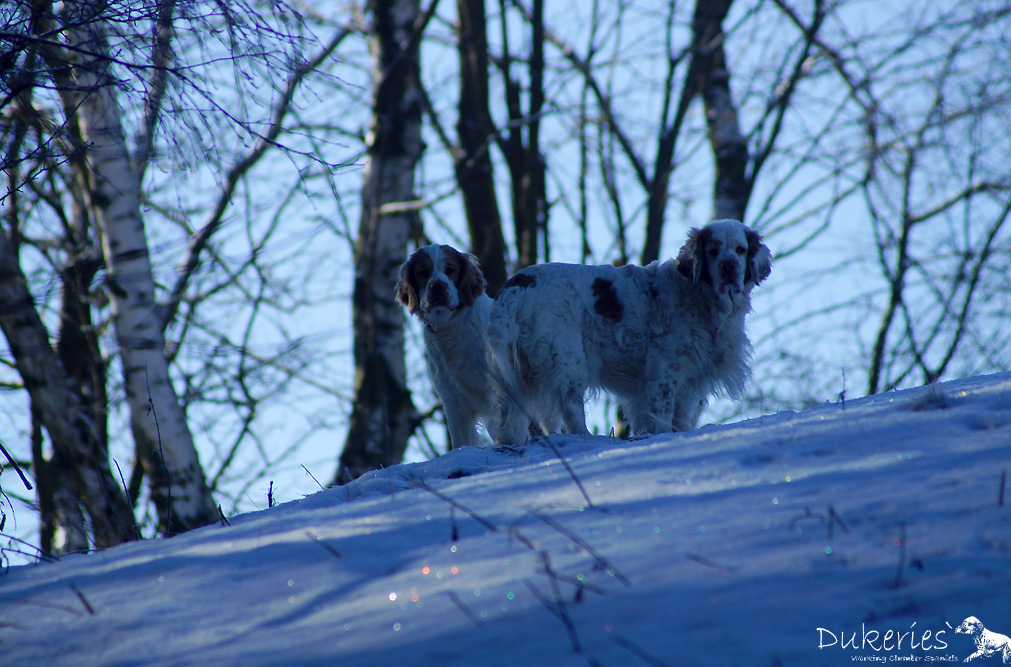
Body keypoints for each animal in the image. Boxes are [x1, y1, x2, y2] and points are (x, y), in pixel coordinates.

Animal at [486, 219, 772, 444]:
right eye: (712, 251)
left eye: (740, 250)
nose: (728, 266)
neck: (699, 298)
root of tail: (517, 285)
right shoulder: (663, 376)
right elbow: (662, 416)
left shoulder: (688, 380)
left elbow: (680, 418)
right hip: (567, 361)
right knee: (570, 408)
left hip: (515, 373)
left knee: (509, 414)